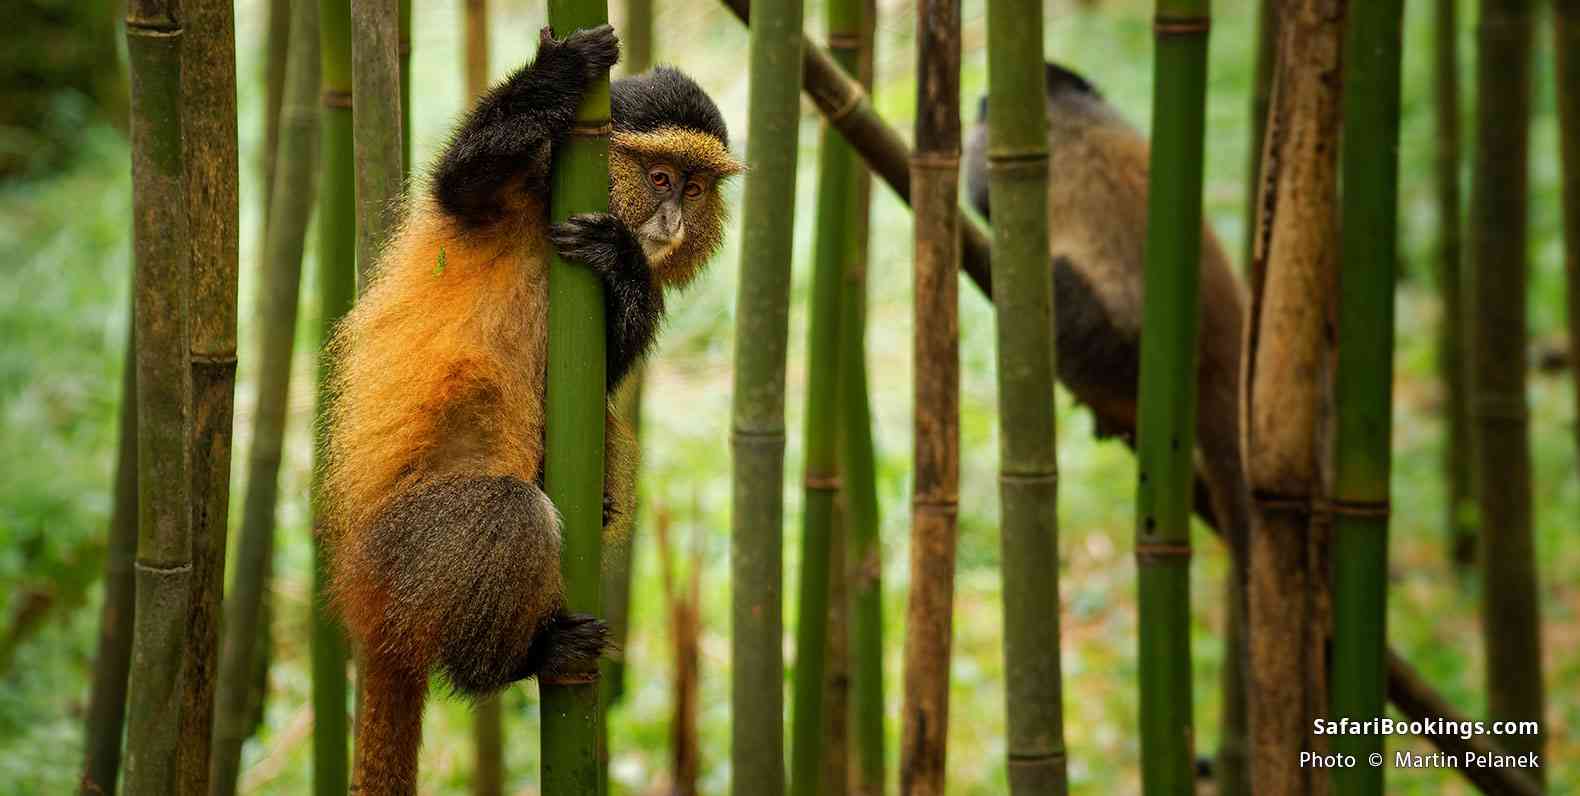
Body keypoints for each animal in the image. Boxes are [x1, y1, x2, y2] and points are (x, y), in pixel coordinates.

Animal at [321, 25, 741, 794]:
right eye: (659, 178)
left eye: (695, 186)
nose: (672, 219)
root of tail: (370, 611)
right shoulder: (504, 191)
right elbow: (465, 176)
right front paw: (561, 70)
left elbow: (611, 364)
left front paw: (622, 262)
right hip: (409, 552)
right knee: (507, 512)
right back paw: (523, 661)